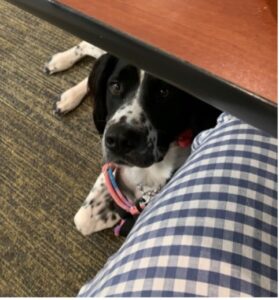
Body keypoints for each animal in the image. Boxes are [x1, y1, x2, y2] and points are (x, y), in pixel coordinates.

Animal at [44, 41, 222, 236]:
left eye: (164, 92)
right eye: (115, 86)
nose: (119, 140)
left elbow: (86, 220)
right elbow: (83, 218)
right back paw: (61, 69)